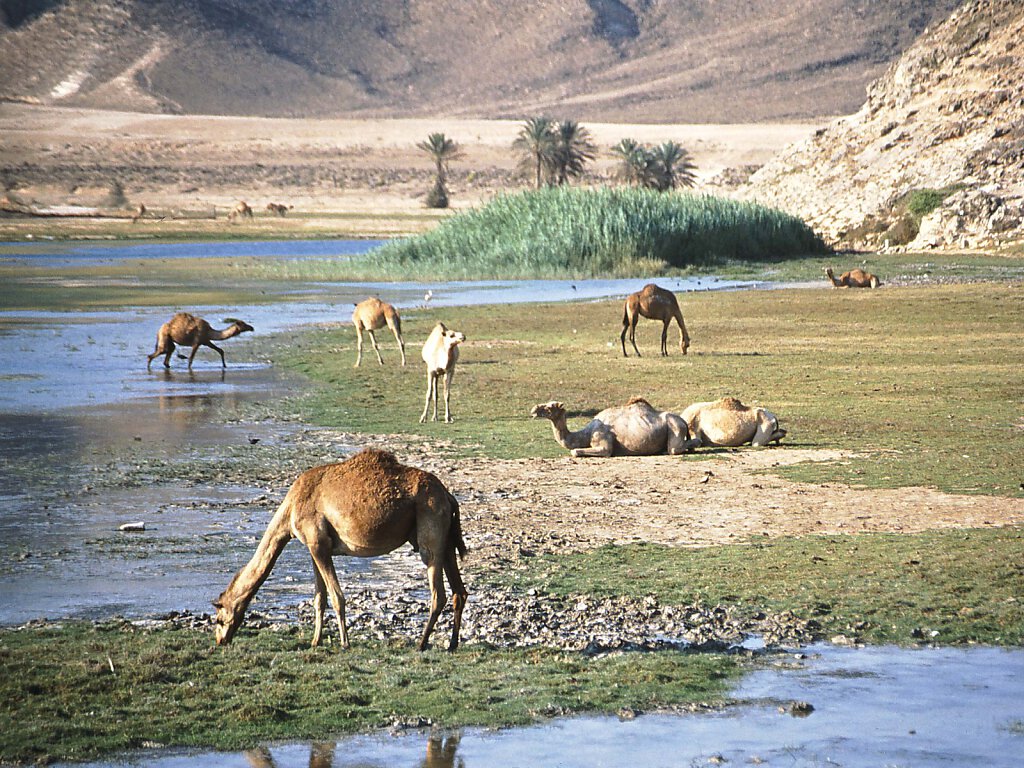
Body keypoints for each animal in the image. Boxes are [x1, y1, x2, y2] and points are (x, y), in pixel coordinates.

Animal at [528, 397, 704, 456]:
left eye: (549, 407)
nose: (534, 409)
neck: (586, 434)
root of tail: (682, 420)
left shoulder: (603, 442)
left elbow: (575, 451)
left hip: (675, 427)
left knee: (675, 448)